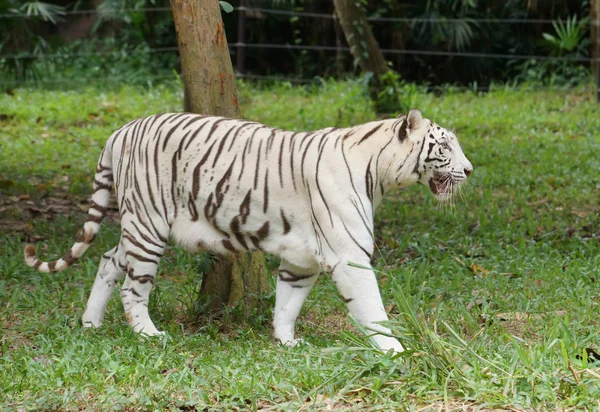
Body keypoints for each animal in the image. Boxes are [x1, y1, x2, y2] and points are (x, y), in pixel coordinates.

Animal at [23, 108, 474, 350]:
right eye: (444, 146)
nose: (470, 170)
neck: (378, 174)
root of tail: (120, 130)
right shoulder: (349, 257)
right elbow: (373, 309)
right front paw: (394, 349)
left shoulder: (303, 258)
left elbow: (288, 302)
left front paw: (287, 341)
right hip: (148, 225)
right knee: (134, 288)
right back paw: (149, 333)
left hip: (138, 226)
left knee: (107, 259)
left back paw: (91, 323)